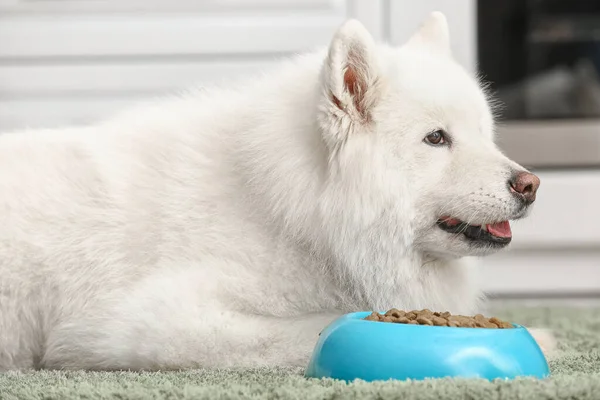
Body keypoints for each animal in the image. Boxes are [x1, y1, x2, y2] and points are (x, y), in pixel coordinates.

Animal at [0, 12, 552, 370]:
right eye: (436, 139)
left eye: (485, 133)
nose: (530, 185)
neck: (291, 210)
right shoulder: (143, 319)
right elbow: (314, 326)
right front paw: (545, 336)